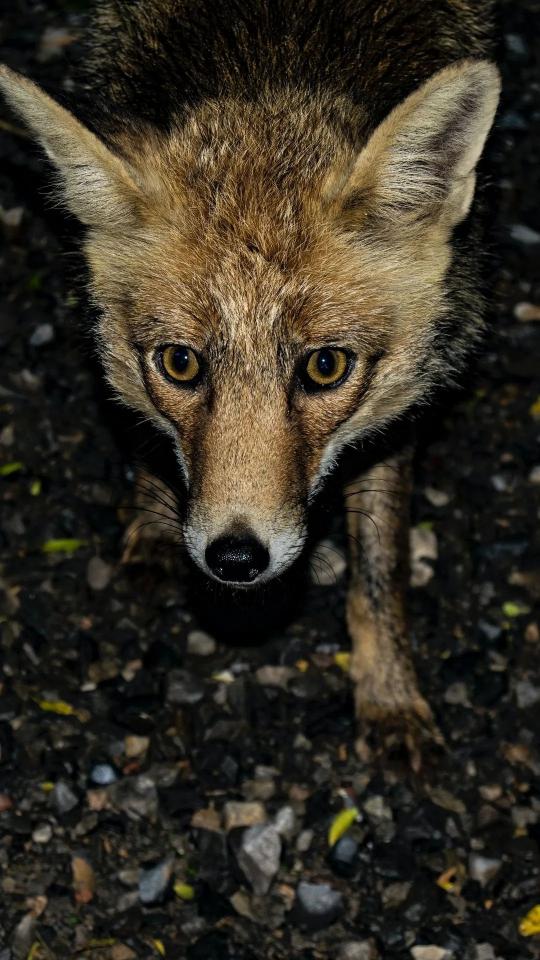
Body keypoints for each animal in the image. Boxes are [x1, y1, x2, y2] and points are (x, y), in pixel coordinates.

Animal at [0, 0, 500, 769]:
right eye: (180, 363)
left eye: (325, 367)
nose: (234, 559)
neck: (277, 56)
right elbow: (149, 436)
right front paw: (153, 525)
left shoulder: (404, 398)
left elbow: (379, 574)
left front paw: (389, 694)